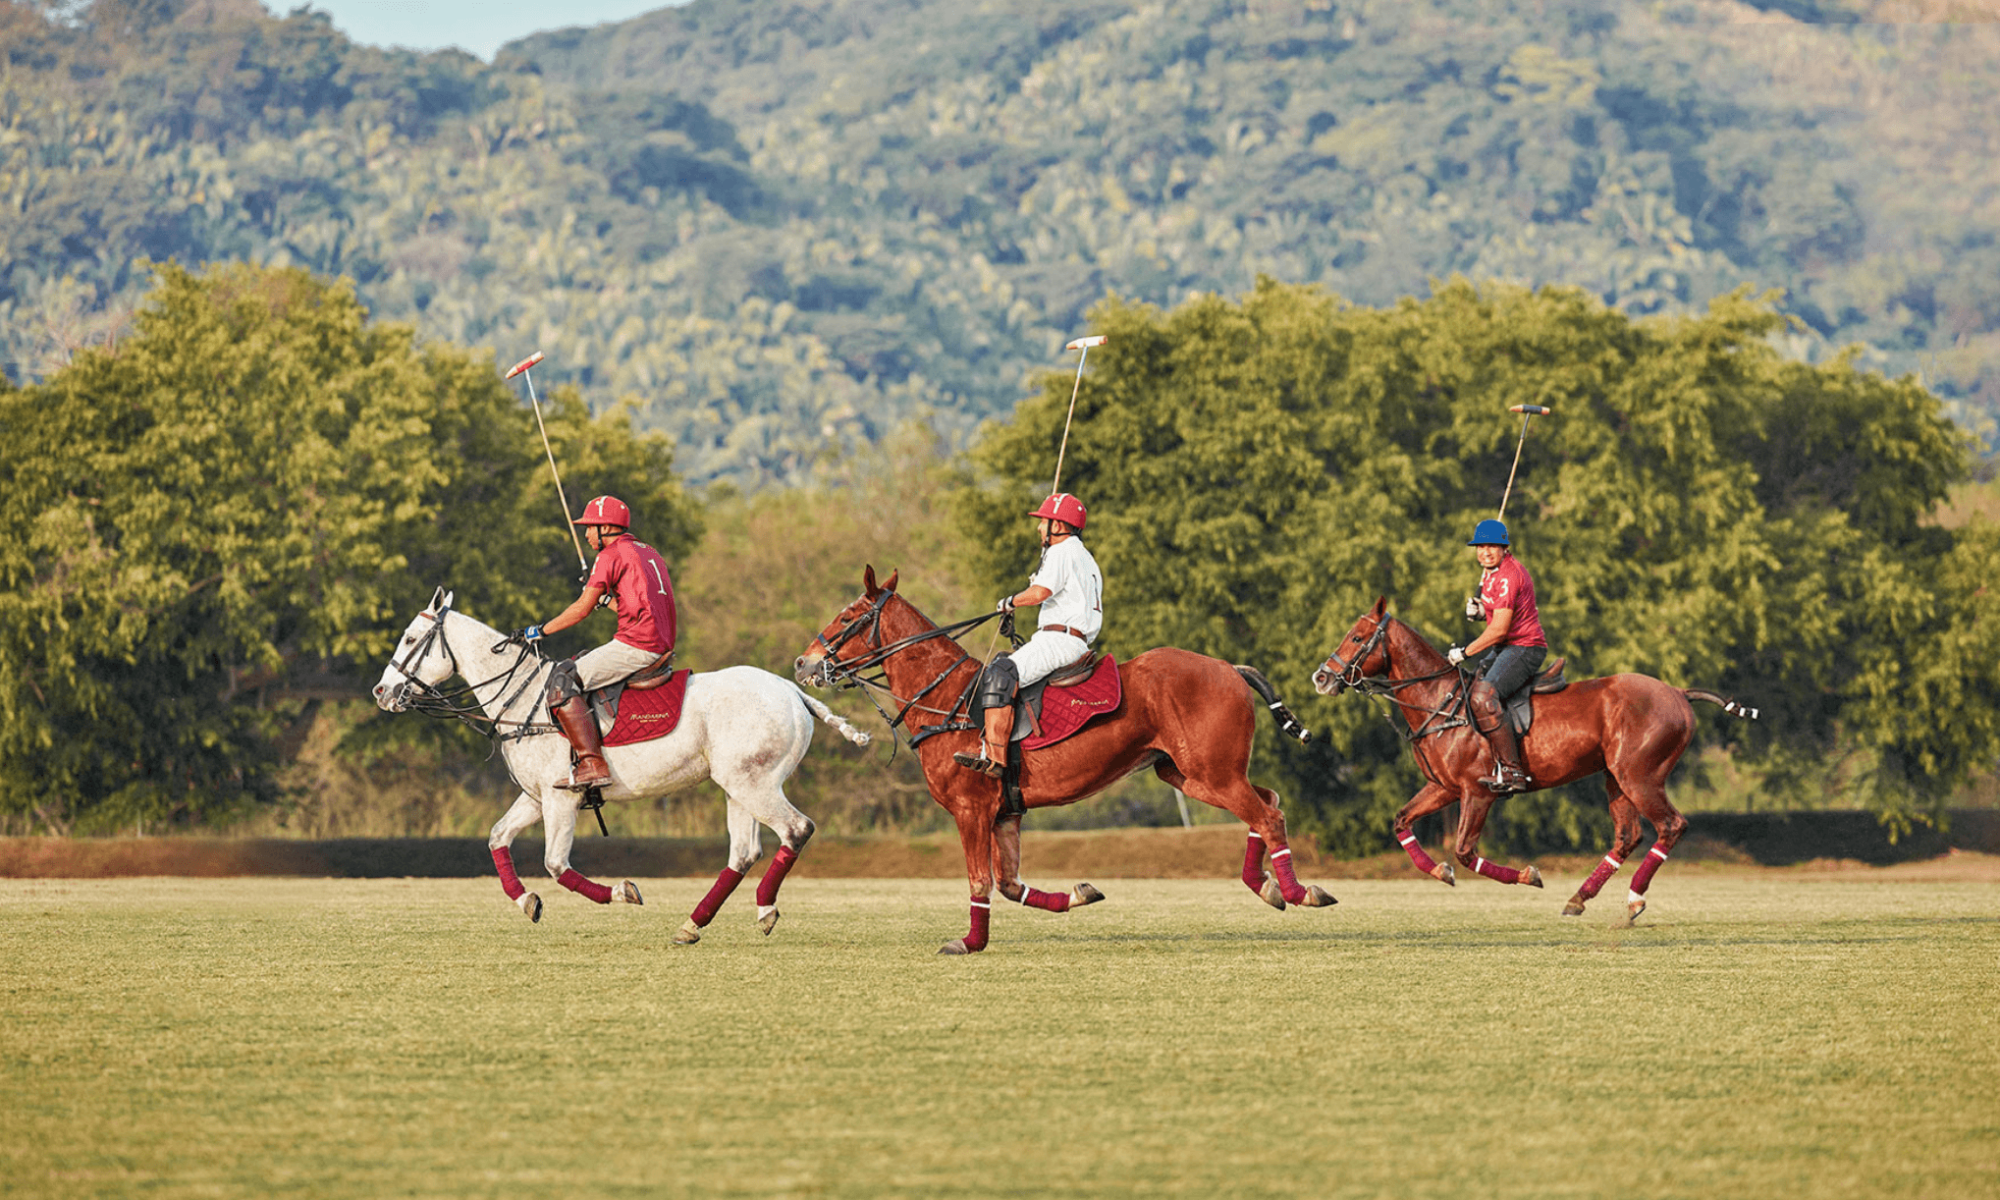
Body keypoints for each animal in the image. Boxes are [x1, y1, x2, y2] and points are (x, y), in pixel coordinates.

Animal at [374, 588, 868, 936]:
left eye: (411, 638)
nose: (382, 692)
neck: (523, 698)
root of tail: (794, 692)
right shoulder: (537, 797)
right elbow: (498, 838)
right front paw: (527, 901)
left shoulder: (561, 799)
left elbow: (556, 865)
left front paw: (624, 891)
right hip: (737, 784)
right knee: (744, 852)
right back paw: (692, 925)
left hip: (755, 782)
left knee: (796, 829)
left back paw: (764, 908)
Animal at [792, 568, 1328, 952]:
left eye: (847, 617)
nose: (803, 662)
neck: (945, 698)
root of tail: (1230, 668)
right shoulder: (1005, 812)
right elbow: (1010, 884)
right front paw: (1080, 893)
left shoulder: (971, 808)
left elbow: (980, 880)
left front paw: (968, 943)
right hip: (1193, 773)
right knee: (1268, 801)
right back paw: (1268, 887)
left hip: (1212, 773)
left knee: (1267, 815)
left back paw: (1300, 892)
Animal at [1312, 596, 1752, 920]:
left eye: (1356, 638)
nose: (1322, 677)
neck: (1440, 701)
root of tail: (1678, 692)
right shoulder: (1444, 788)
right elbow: (1402, 820)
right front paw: (1440, 871)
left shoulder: (1478, 791)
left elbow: (1465, 850)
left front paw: (1529, 874)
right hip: (1615, 777)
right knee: (1628, 836)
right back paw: (1578, 898)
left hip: (1640, 775)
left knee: (1671, 825)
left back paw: (1633, 900)